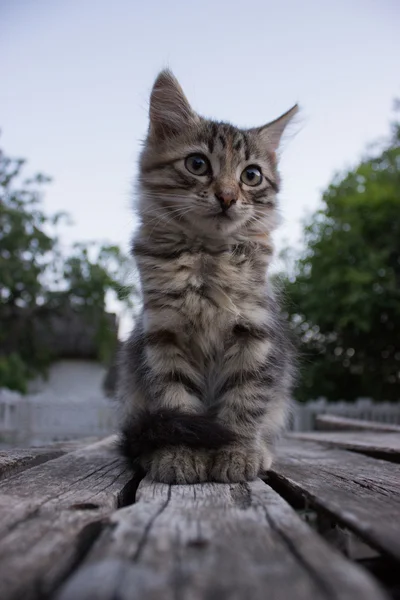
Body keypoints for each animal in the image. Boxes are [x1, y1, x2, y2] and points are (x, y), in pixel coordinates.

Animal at [116, 69, 296, 482]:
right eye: (197, 164)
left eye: (251, 175)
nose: (228, 196)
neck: (208, 259)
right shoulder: (163, 336)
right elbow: (177, 404)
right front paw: (180, 455)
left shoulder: (256, 333)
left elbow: (245, 403)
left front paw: (237, 453)